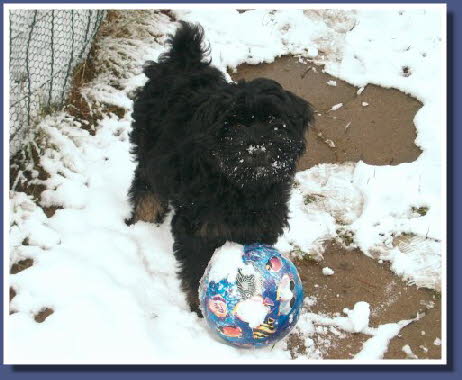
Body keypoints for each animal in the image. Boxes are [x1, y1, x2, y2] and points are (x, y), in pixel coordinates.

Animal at [127, 21, 314, 314]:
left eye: (273, 119)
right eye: (233, 124)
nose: (257, 148)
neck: (241, 186)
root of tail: (183, 60)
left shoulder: (261, 224)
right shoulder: (199, 228)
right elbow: (198, 269)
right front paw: (200, 306)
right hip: (151, 149)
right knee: (146, 186)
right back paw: (143, 221)